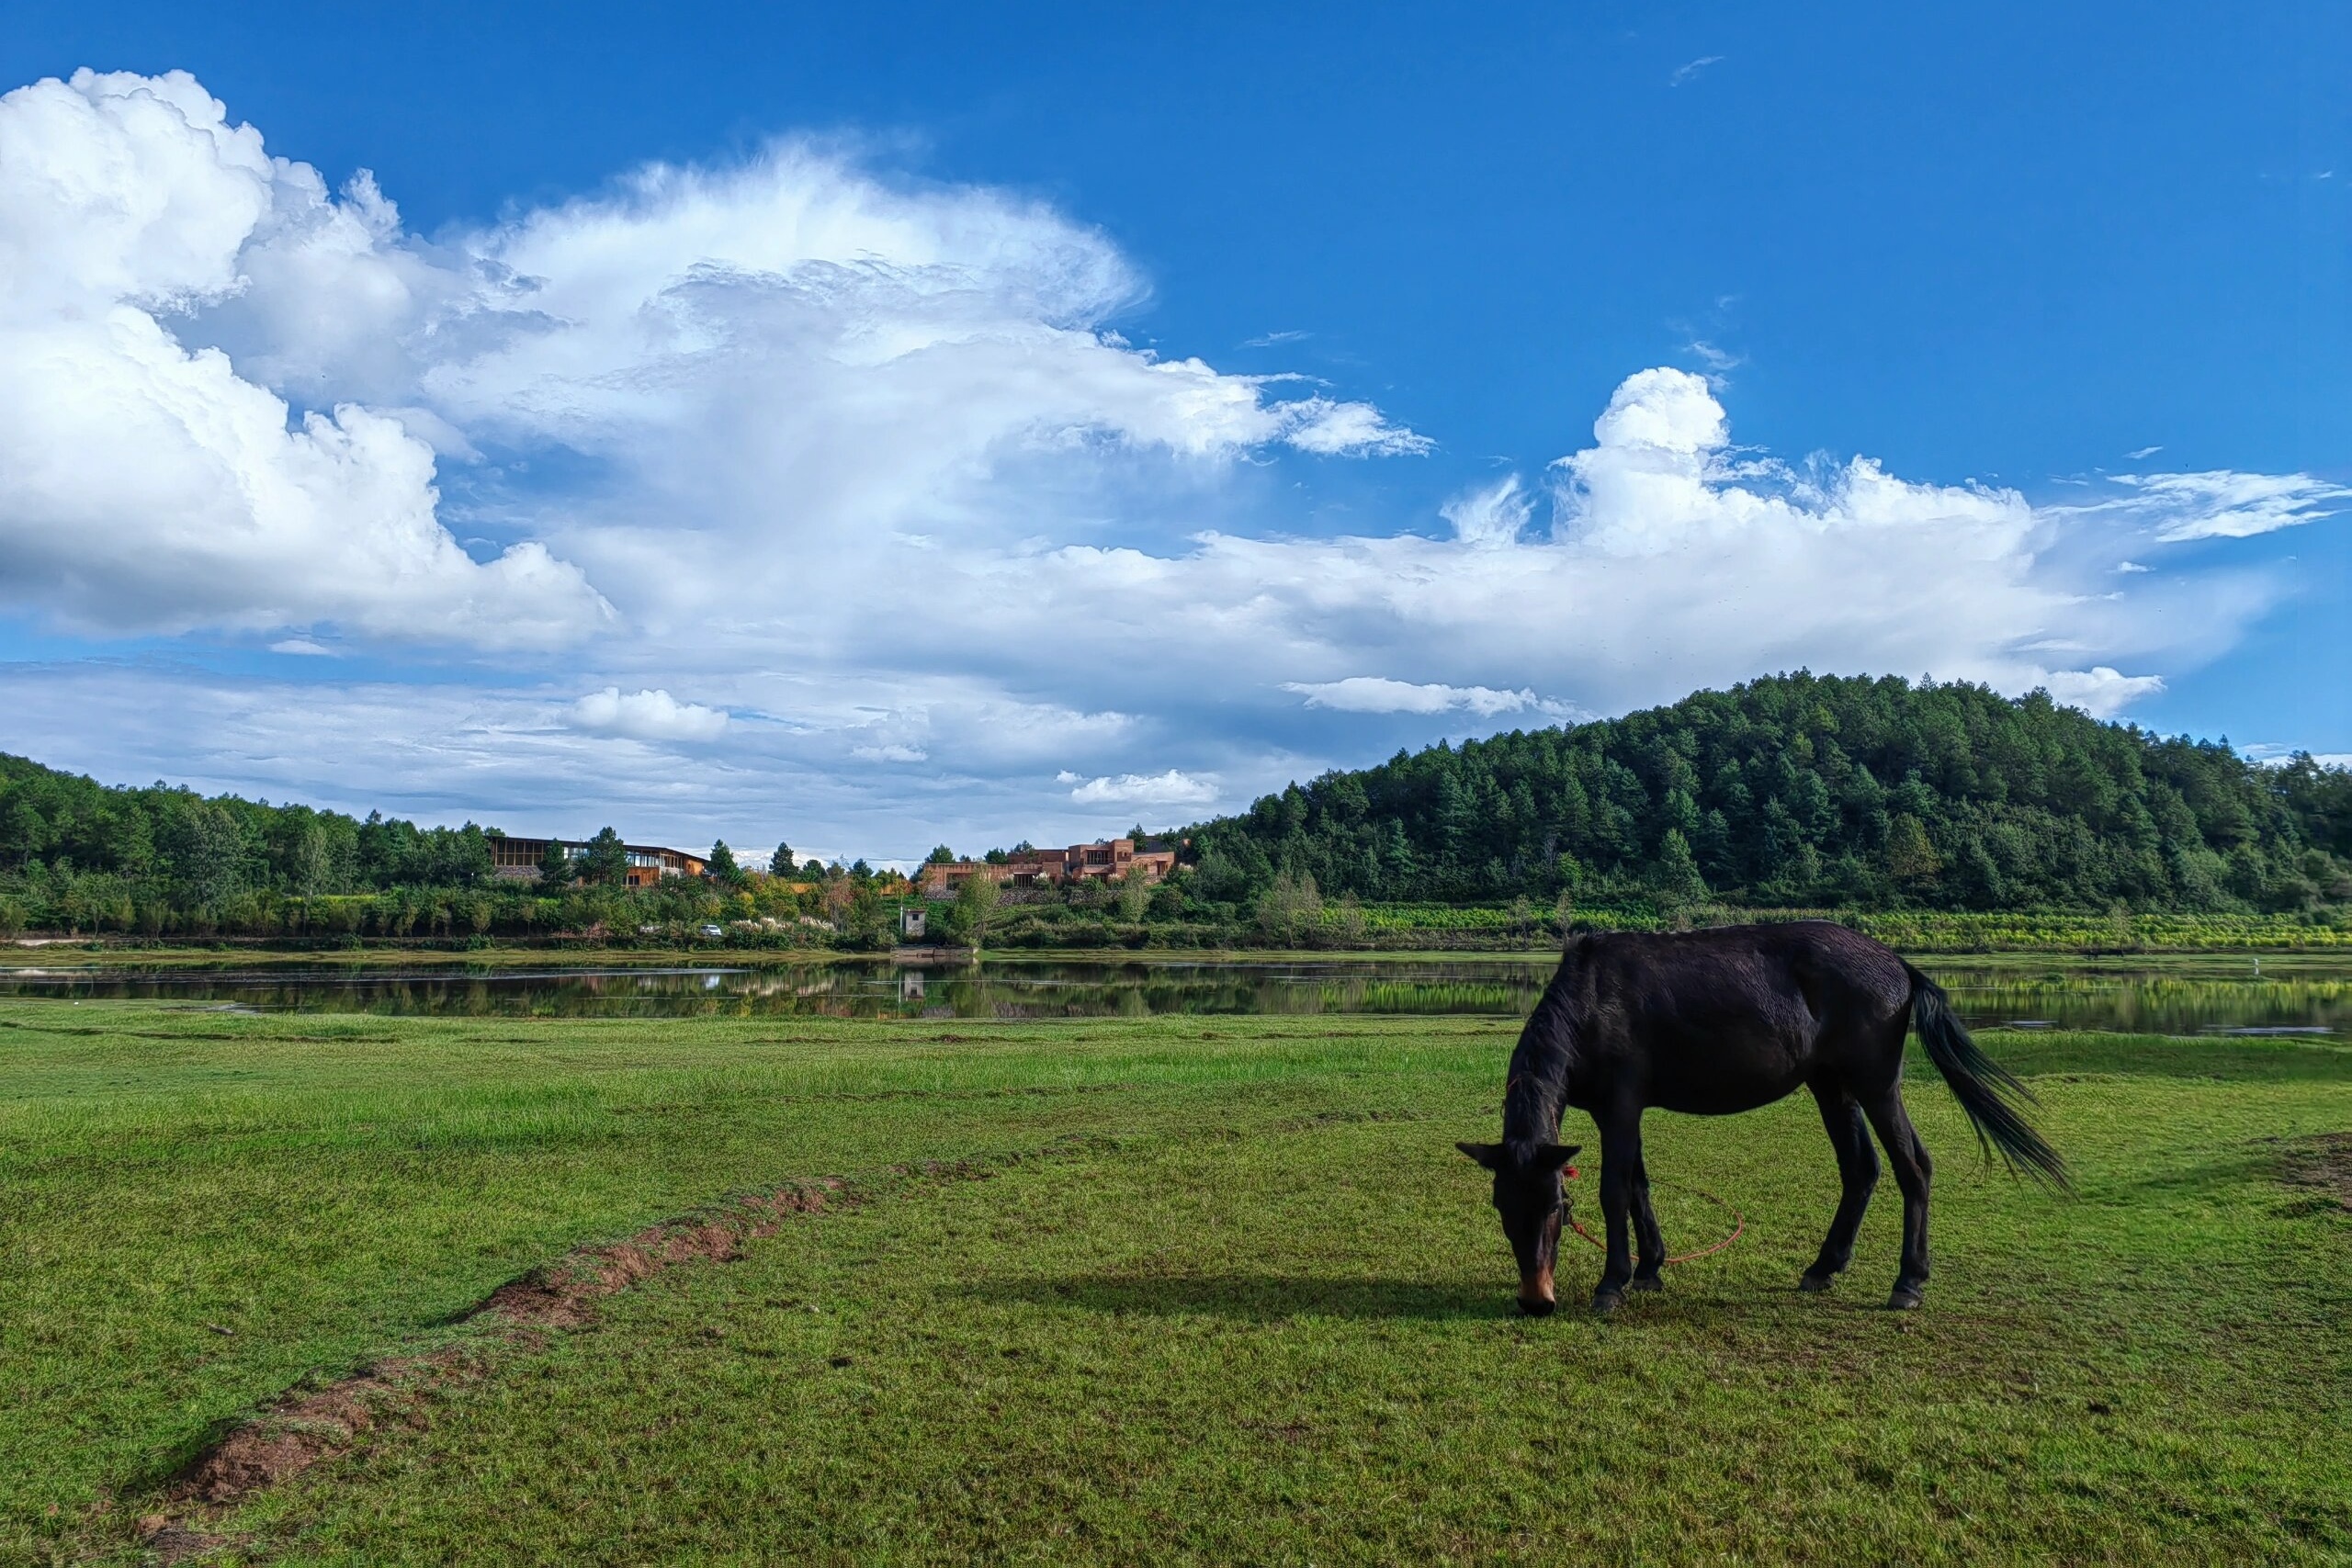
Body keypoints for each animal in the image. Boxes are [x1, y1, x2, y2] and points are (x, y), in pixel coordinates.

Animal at [1448, 926, 2060, 1316]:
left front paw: (1612, 1283)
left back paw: (1908, 1282)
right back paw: (1823, 1268)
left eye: (1557, 1206)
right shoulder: (1615, 1111)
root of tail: (1898, 965)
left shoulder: (1620, 1107)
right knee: (1861, 1169)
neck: (1592, 1001)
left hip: (1876, 1087)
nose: (1535, 1301)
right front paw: (1650, 1269)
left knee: (1914, 1166)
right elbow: (1640, 1186)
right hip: (1832, 1087)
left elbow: (1615, 1190)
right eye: (1501, 1206)